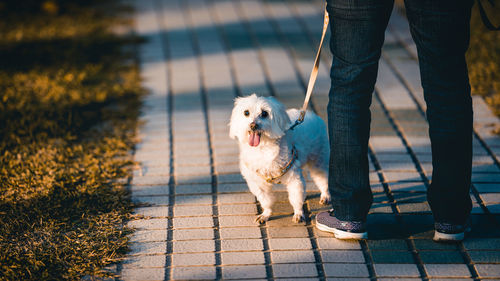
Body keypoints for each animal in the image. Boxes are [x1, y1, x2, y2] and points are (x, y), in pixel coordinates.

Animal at [229, 94, 330, 223]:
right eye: (246, 112)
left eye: (264, 113)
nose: (253, 125)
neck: (263, 149)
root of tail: (313, 115)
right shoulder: (258, 184)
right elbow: (265, 200)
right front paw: (265, 214)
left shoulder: (293, 178)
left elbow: (296, 197)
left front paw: (298, 213)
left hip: (319, 160)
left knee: (323, 178)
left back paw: (325, 195)